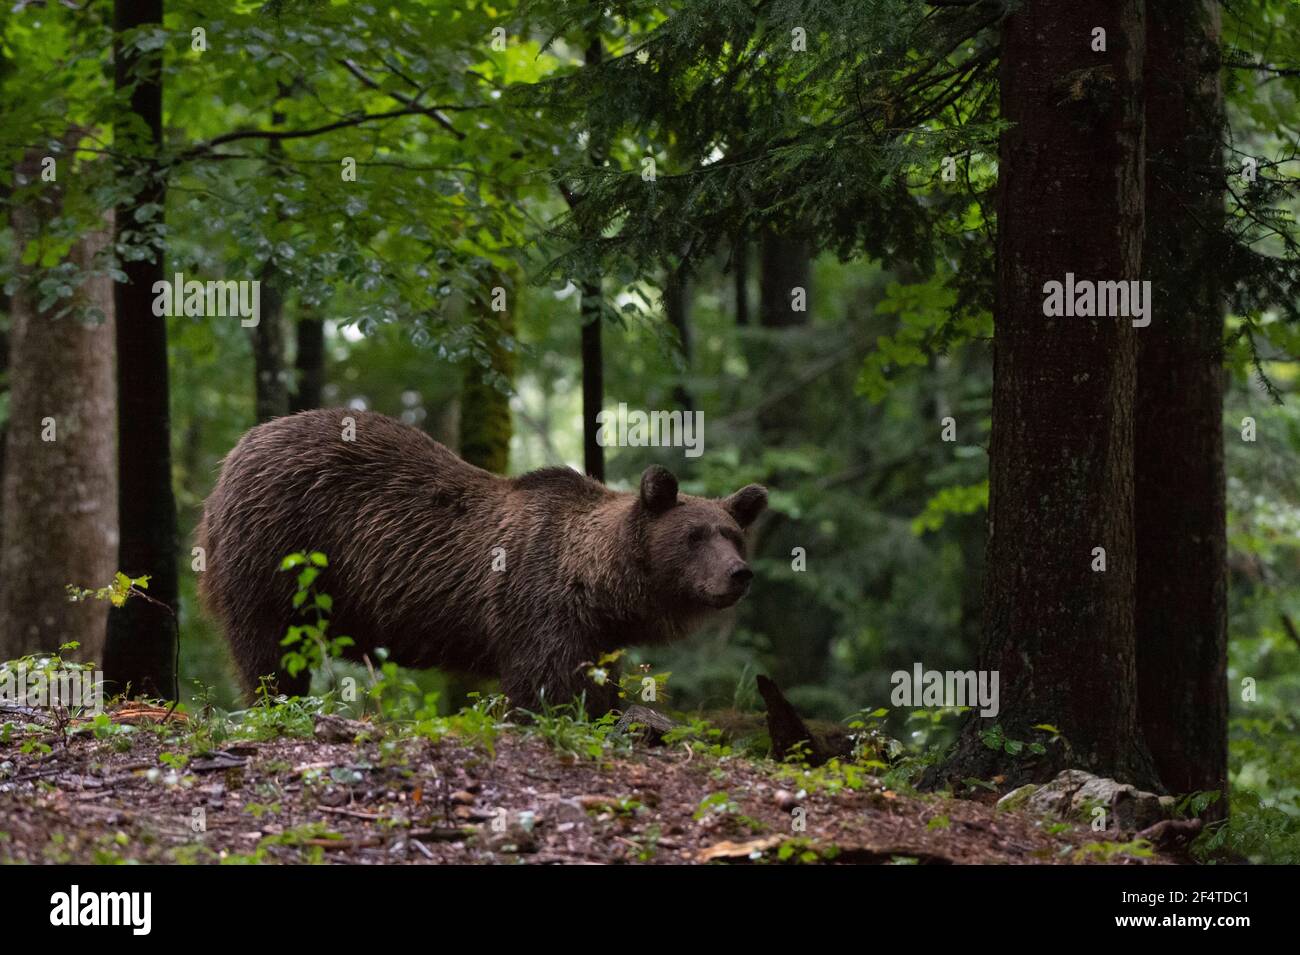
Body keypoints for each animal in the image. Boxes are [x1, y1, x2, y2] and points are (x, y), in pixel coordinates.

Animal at [198, 407, 764, 712]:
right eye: (694, 536)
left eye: (734, 535)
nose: (739, 574)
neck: (597, 587)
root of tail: (237, 450)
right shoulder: (537, 604)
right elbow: (547, 687)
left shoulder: (595, 634)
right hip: (278, 550)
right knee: (269, 646)